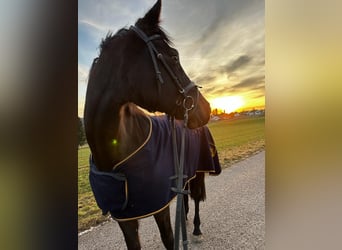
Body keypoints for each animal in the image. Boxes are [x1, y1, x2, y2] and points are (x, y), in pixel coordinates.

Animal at [84, 0, 220, 249]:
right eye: (174, 57)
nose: (205, 108)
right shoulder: (126, 219)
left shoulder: (160, 208)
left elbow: (169, 239)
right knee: (185, 195)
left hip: (199, 172)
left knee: (195, 197)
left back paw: (196, 228)